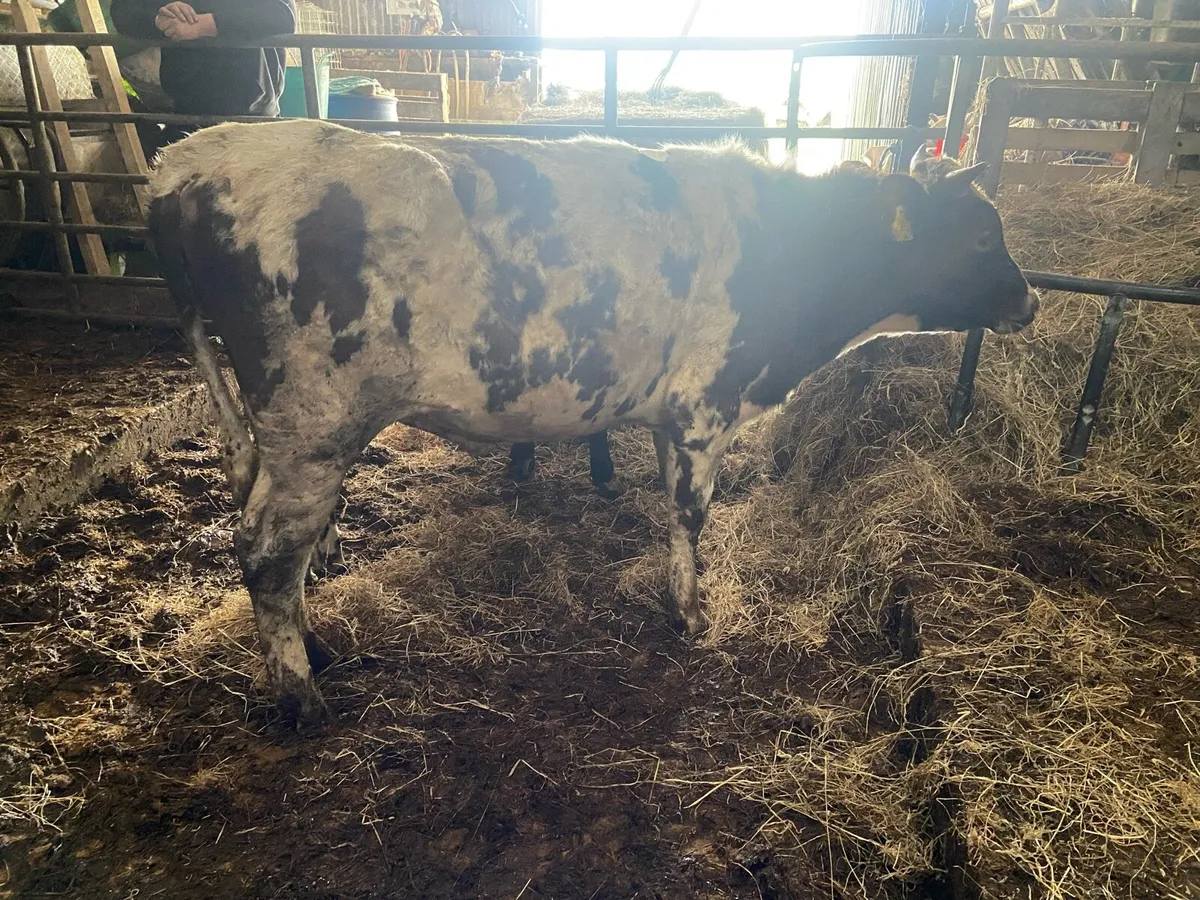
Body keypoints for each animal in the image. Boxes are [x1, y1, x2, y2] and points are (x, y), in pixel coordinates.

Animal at [147, 119, 1038, 725]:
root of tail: (196, 158)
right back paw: (301, 698)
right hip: (315, 422)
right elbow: (691, 515)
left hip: (283, 433)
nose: (1030, 300)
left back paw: (318, 650)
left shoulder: (672, 414)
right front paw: (692, 614)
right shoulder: (704, 404)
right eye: (980, 235)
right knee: (267, 549)